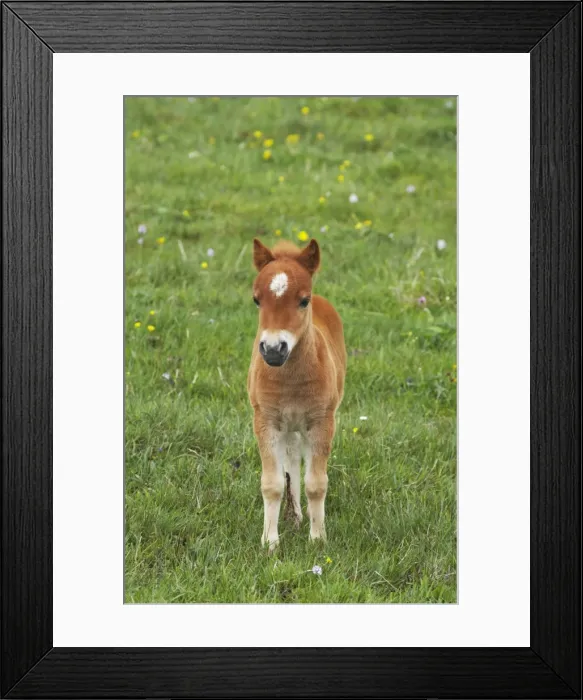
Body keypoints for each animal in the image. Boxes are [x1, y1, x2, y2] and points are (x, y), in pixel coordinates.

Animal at [247, 238, 346, 551]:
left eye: (304, 300)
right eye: (257, 300)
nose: (273, 350)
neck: (290, 380)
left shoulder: (322, 422)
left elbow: (316, 483)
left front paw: (318, 539)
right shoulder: (265, 421)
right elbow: (272, 483)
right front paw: (270, 543)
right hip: (287, 425)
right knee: (291, 462)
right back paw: (295, 516)